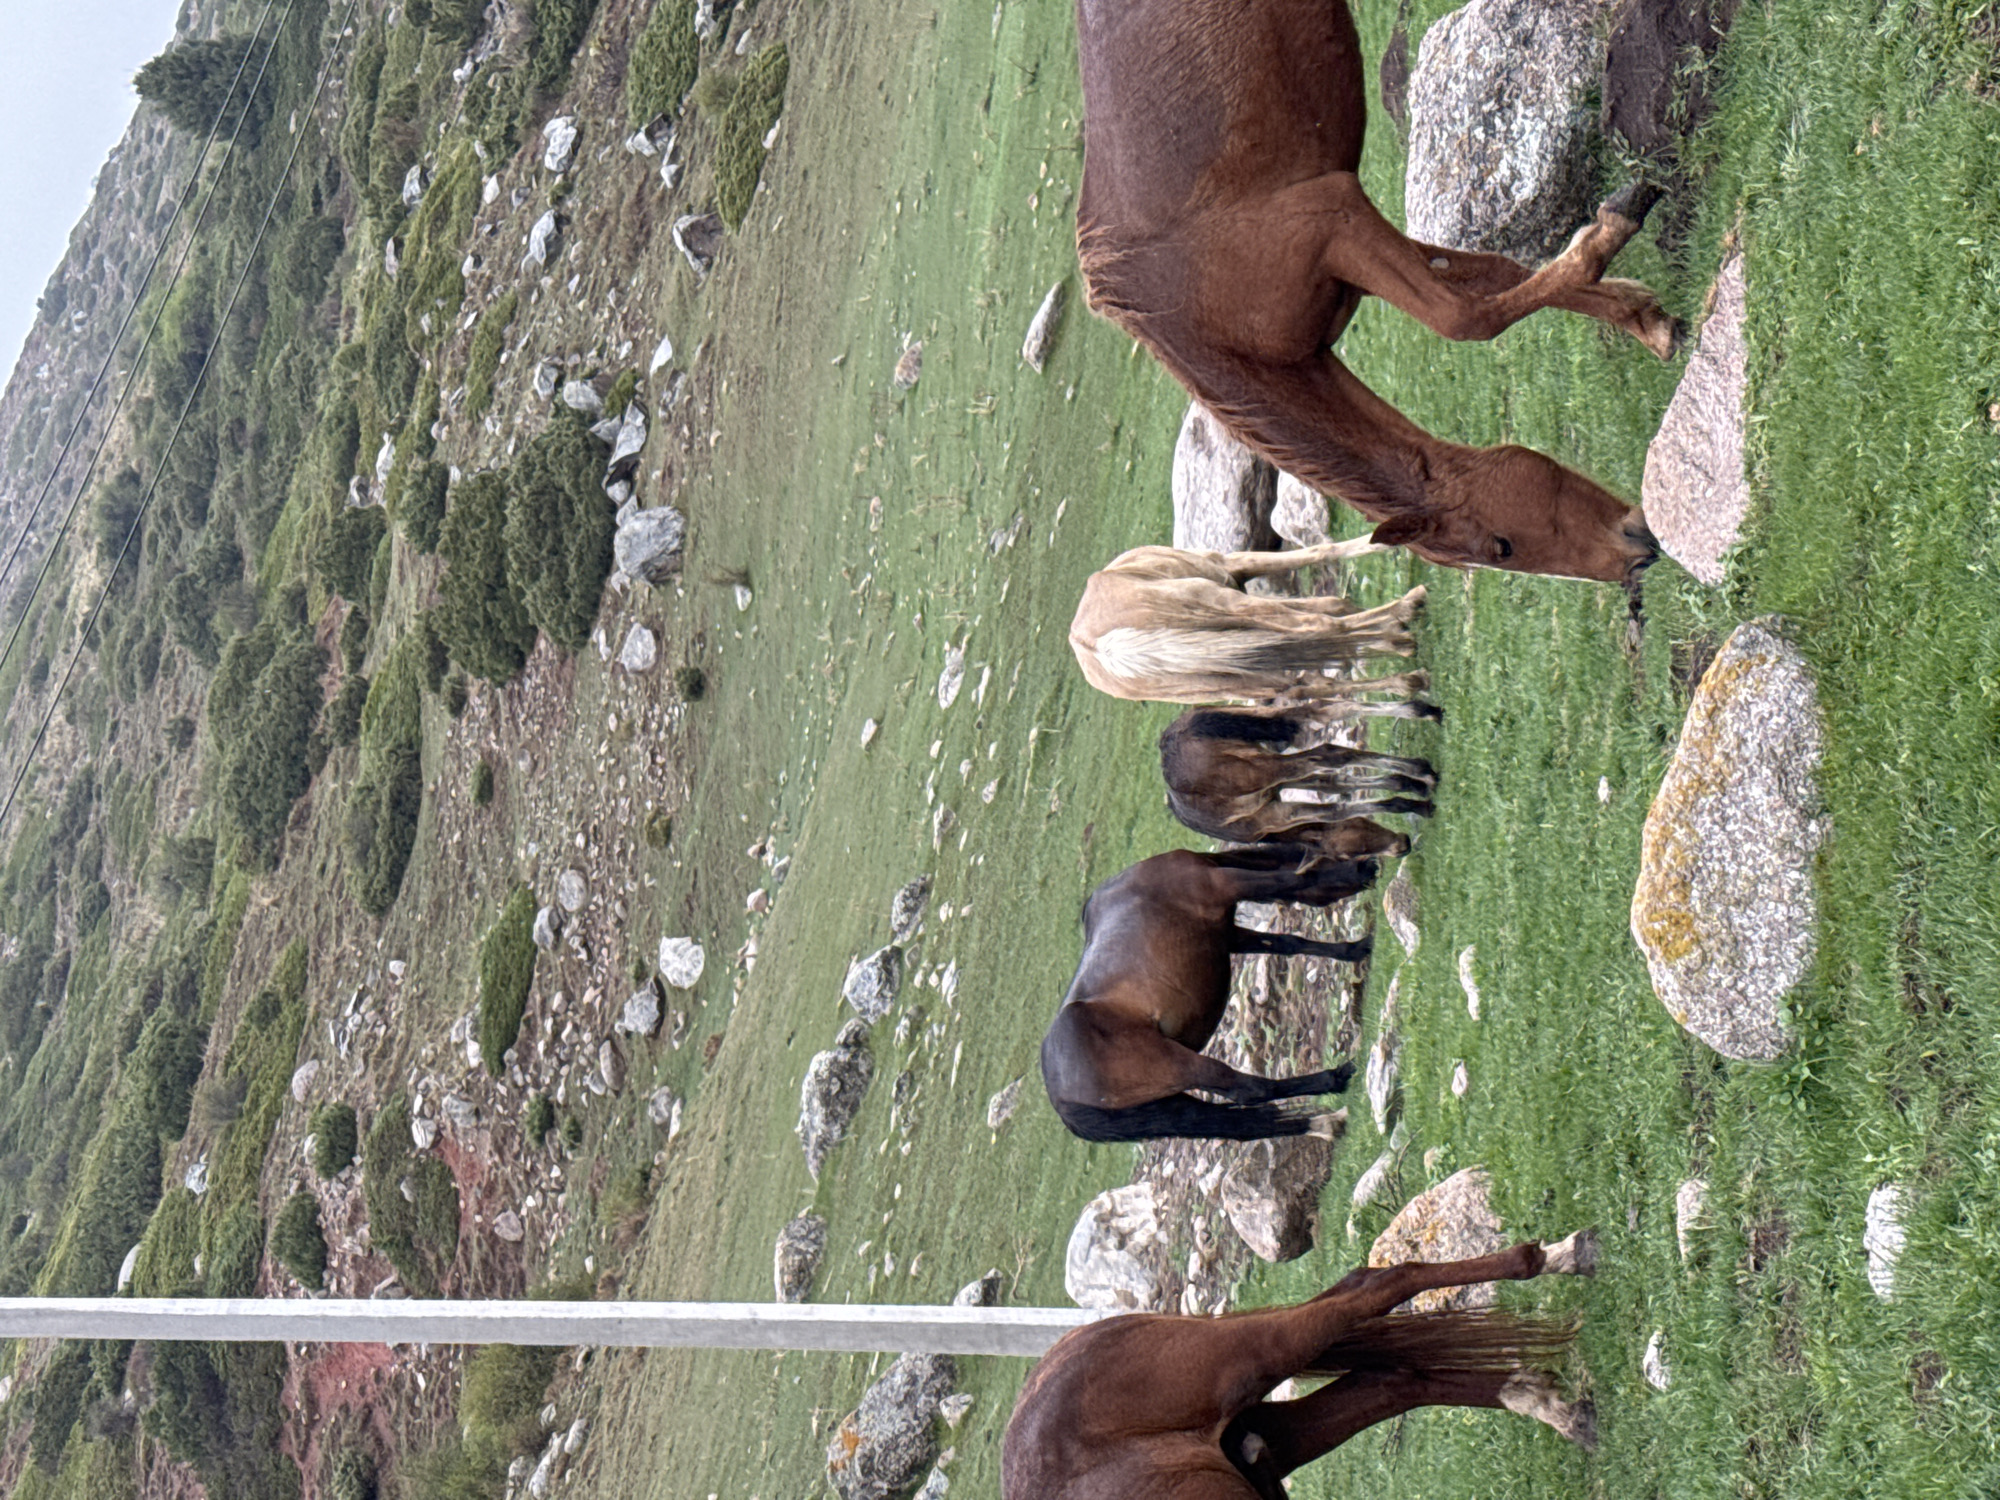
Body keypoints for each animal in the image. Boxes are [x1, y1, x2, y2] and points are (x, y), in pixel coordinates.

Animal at [1003, 1234, 1600, 1500]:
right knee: (1393, 1380)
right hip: (1275, 1434)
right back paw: (1548, 1403)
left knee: (1383, 1283)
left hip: (1253, 1358)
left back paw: (1559, 1256)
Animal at [1043, 847, 1376, 1142]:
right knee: (1249, 1089)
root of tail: (1061, 1100)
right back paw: (1336, 1078)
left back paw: (1326, 1121)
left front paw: (1357, 949)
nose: (1370, 868)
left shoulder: (1227, 935)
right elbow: (1288, 881)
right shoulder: (1226, 884)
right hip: (1183, 1065)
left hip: (1172, 1100)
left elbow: (1290, 943)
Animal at [1069, 542, 1437, 715]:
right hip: (1224, 603)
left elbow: (1334, 609)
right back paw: (1407, 623)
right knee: (1316, 627)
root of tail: (1100, 647)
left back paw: (1406, 676)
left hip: (1238, 678)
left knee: (1305, 683)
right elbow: (1324, 562)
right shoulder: (1236, 566)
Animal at [1073, 0, 1670, 587]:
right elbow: (1494, 277)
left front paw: (1615, 227)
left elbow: (1464, 317)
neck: (1190, 308)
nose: (1637, 557)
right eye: (1501, 548)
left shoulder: (1335, 217)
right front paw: (1641, 314)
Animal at [1160, 706, 1435, 858]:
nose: (1402, 847)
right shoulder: (1278, 792)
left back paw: (1424, 770)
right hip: (1262, 727)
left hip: (1262, 766)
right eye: (1349, 854)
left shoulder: (1277, 814)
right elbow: (1335, 784)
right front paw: (1407, 792)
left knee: (1328, 751)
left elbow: (1336, 808)